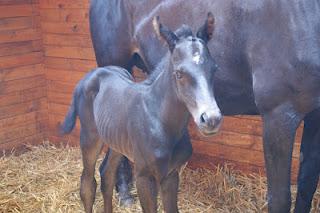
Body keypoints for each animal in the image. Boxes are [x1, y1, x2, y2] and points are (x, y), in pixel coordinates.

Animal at [60, 14, 222, 212]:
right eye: (179, 73)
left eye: (214, 69)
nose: (211, 119)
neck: (162, 122)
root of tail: (88, 76)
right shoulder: (144, 176)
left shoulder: (171, 174)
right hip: (90, 136)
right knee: (87, 184)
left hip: (116, 141)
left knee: (106, 174)